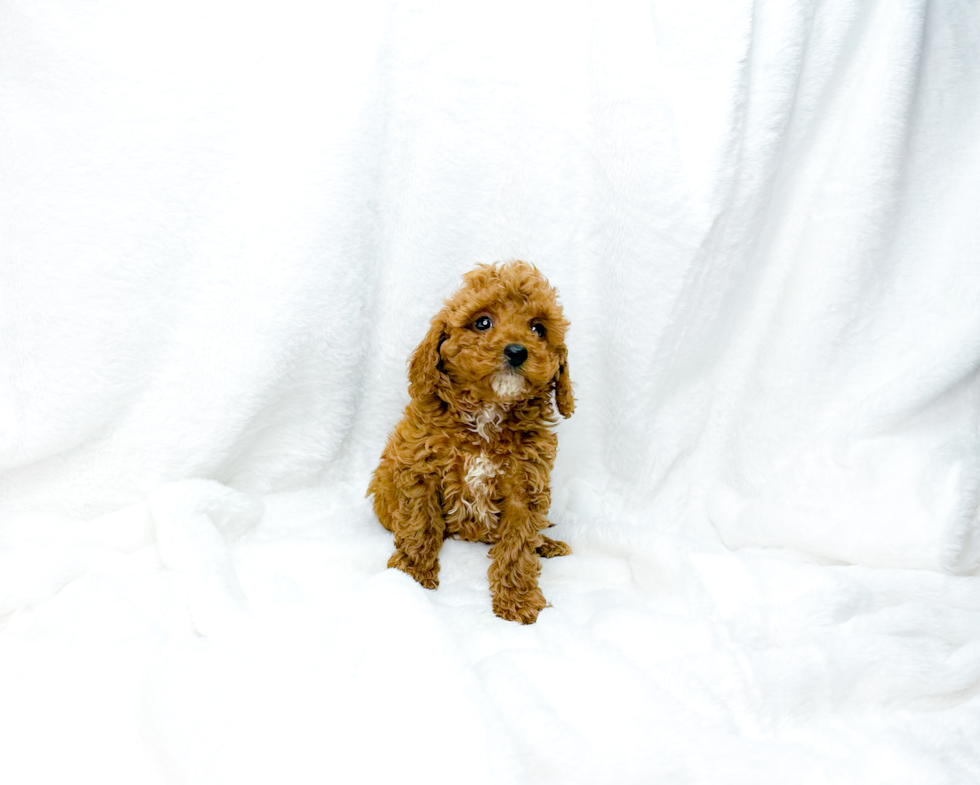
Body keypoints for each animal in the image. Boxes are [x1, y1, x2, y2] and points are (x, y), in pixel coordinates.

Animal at [368, 260, 576, 620]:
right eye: (482, 322)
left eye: (538, 329)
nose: (517, 351)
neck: (487, 414)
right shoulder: (419, 470)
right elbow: (419, 525)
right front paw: (410, 577)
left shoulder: (526, 487)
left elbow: (519, 544)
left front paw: (518, 599)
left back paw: (547, 544)